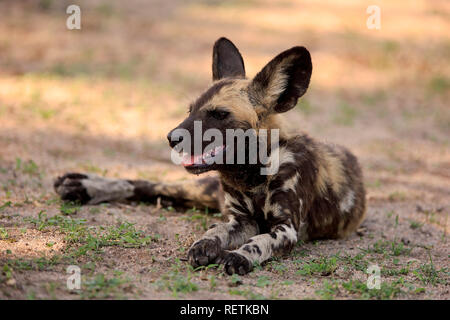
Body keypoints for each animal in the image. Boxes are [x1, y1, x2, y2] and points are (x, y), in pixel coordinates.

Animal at [55, 38, 366, 276]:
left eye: (219, 114)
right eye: (190, 110)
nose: (171, 137)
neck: (252, 175)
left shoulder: (286, 229)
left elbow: (259, 241)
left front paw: (239, 256)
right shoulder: (240, 221)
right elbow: (216, 231)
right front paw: (206, 245)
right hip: (198, 189)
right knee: (146, 185)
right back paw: (84, 186)